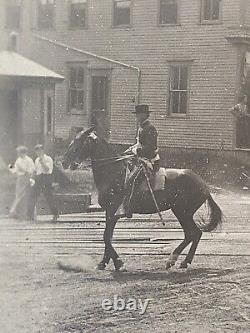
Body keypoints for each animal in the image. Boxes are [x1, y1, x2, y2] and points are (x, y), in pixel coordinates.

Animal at [63, 127, 223, 270]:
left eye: (78, 143)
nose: (64, 162)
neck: (113, 173)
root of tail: (203, 183)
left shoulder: (112, 211)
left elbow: (106, 237)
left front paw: (118, 262)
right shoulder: (110, 212)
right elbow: (108, 236)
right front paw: (105, 262)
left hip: (183, 212)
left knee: (193, 233)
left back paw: (175, 260)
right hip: (182, 213)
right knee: (193, 234)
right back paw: (181, 261)